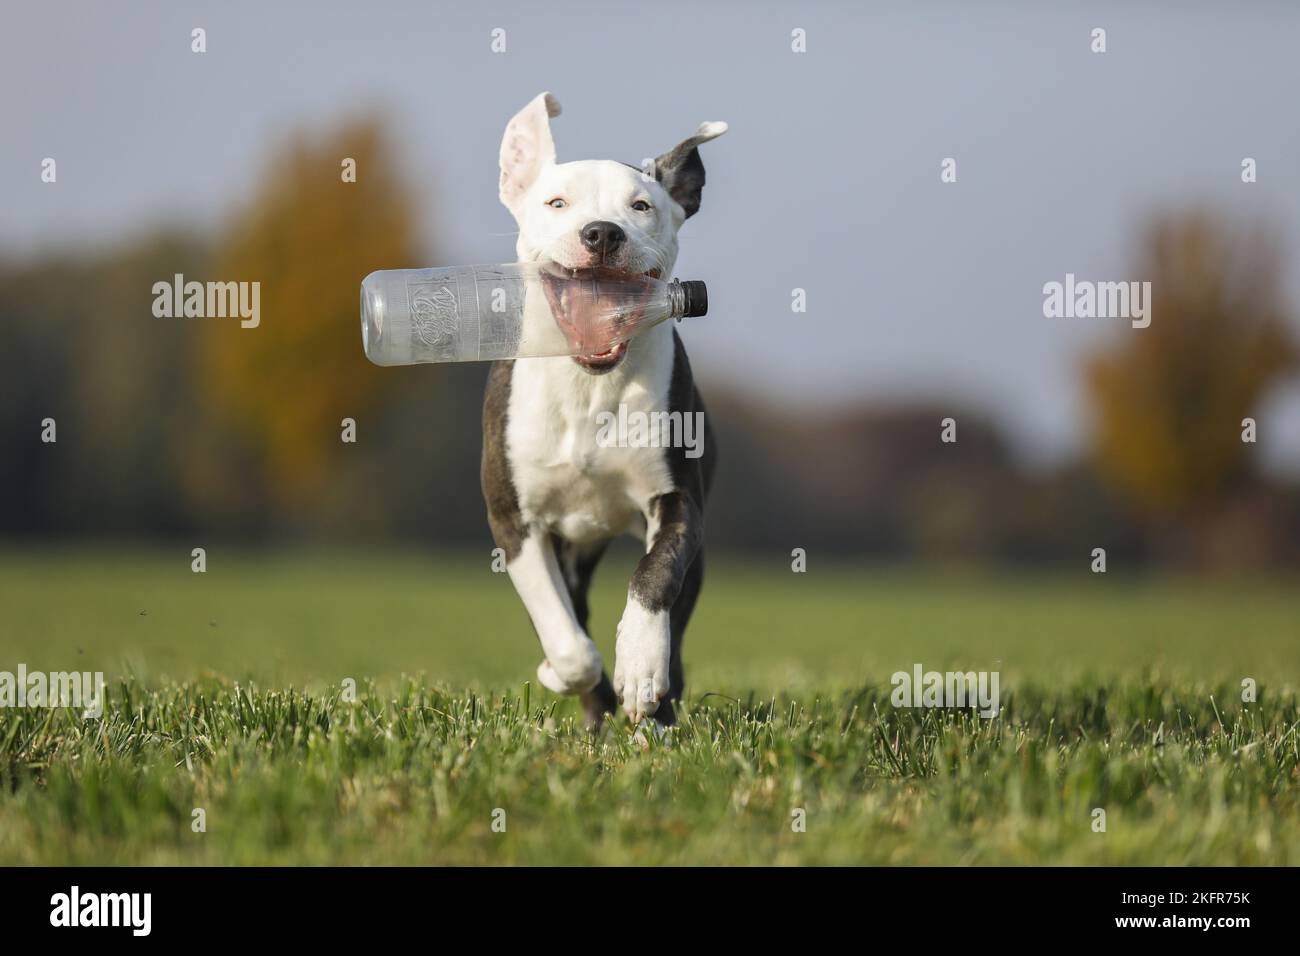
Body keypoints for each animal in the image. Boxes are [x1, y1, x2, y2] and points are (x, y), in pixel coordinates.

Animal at [480, 93, 728, 728]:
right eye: (556, 203)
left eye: (641, 206)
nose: (601, 233)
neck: (588, 386)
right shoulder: (516, 520)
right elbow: (566, 638)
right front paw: (567, 673)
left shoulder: (678, 501)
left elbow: (654, 577)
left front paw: (639, 669)